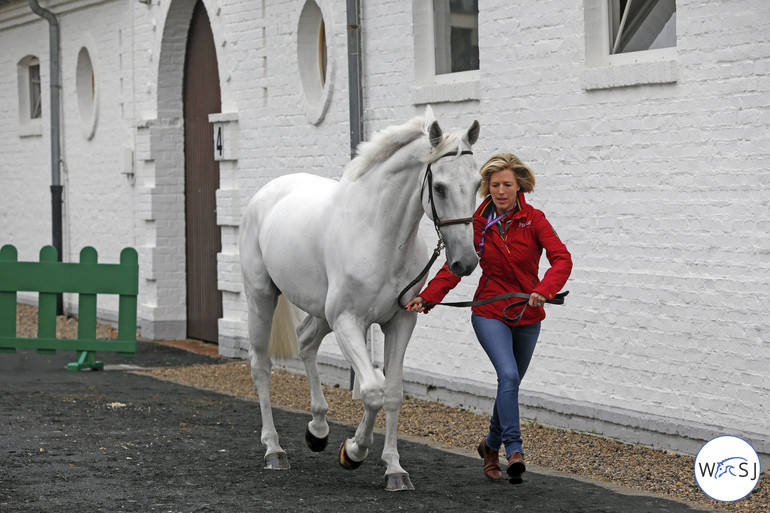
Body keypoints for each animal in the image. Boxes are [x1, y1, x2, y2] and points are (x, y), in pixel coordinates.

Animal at [238, 106, 480, 490]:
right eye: (439, 187)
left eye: (477, 184)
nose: (466, 262)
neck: (378, 234)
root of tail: (267, 192)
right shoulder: (348, 321)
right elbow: (372, 390)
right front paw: (353, 452)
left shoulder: (400, 320)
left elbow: (392, 392)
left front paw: (395, 469)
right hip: (262, 297)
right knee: (261, 366)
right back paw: (274, 450)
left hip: (321, 312)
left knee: (306, 342)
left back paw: (318, 430)